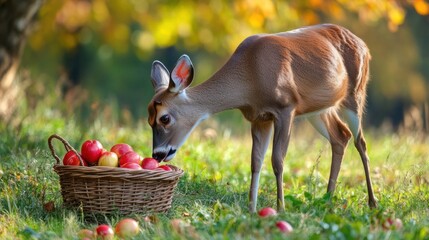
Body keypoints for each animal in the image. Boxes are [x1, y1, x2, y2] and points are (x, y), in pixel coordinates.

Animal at [149, 23, 376, 212]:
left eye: (164, 118)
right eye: (149, 119)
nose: (158, 154)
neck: (251, 76)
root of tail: (364, 44)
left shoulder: (286, 108)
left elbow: (277, 160)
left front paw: (280, 208)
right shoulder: (259, 118)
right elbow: (255, 161)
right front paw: (251, 209)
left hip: (355, 93)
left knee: (361, 142)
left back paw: (372, 202)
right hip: (319, 109)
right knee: (341, 136)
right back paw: (327, 199)